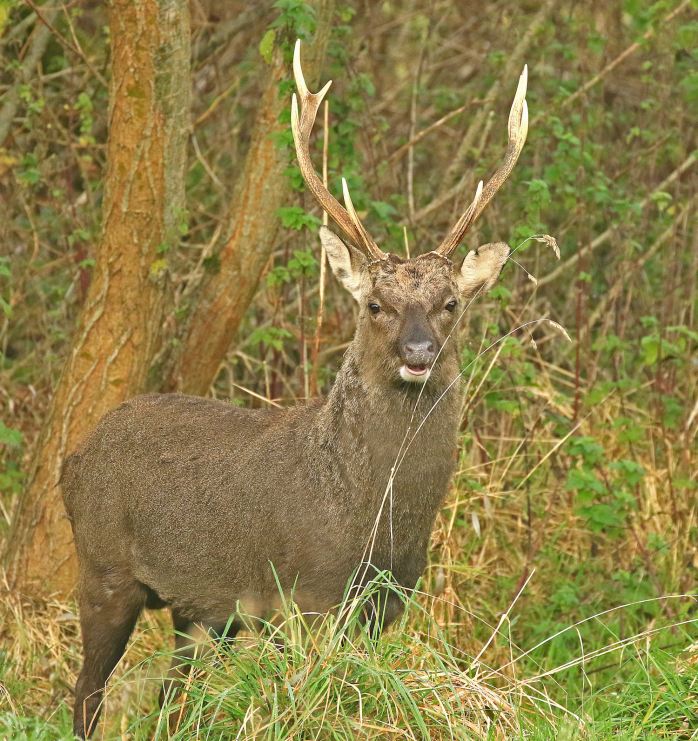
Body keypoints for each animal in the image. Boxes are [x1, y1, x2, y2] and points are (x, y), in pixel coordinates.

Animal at [63, 40, 529, 738]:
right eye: (374, 305)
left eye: (450, 304)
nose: (418, 354)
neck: (371, 518)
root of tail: (73, 457)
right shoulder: (299, 599)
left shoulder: (386, 604)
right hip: (103, 567)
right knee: (87, 692)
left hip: (197, 610)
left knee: (173, 700)